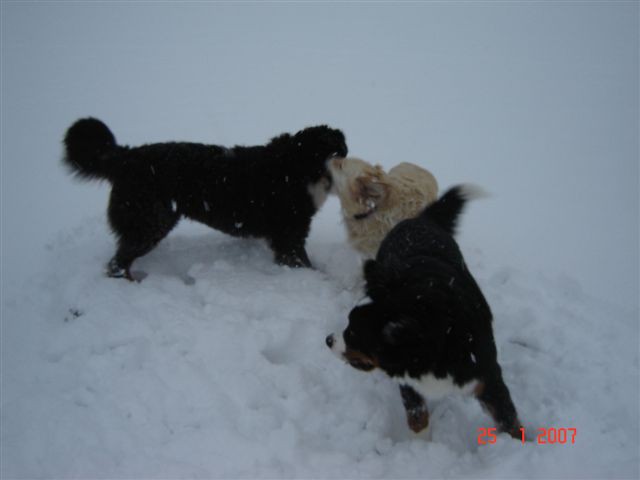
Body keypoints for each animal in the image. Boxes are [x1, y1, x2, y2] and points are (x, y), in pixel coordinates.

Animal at [62, 117, 348, 280]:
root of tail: (126, 157)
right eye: (336, 155)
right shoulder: (289, 236)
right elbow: (303, 263)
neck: (296, 168)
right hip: (150, 223)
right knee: (117, 264)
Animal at [328, 185, 524, 438]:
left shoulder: (487, 375)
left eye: (353, 333)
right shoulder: (408, 379)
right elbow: (417, 415)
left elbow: (508, 420)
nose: (328, 340)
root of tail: (419, 219)